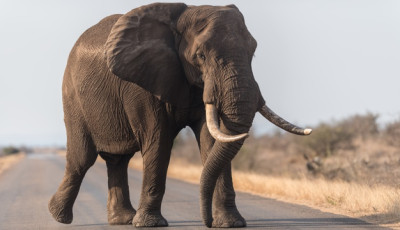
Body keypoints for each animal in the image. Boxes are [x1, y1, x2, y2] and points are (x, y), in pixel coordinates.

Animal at [48, 2, 310, 229]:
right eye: (201, 56)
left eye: (252, 52)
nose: (207, 222)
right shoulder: (142, 84)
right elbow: (158, 142)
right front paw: (150, 224)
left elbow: (213, 140)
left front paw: (231, 223)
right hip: (73, 97)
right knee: (82, 158)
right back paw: (58, 216)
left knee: (118, 160)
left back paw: (122, 220)